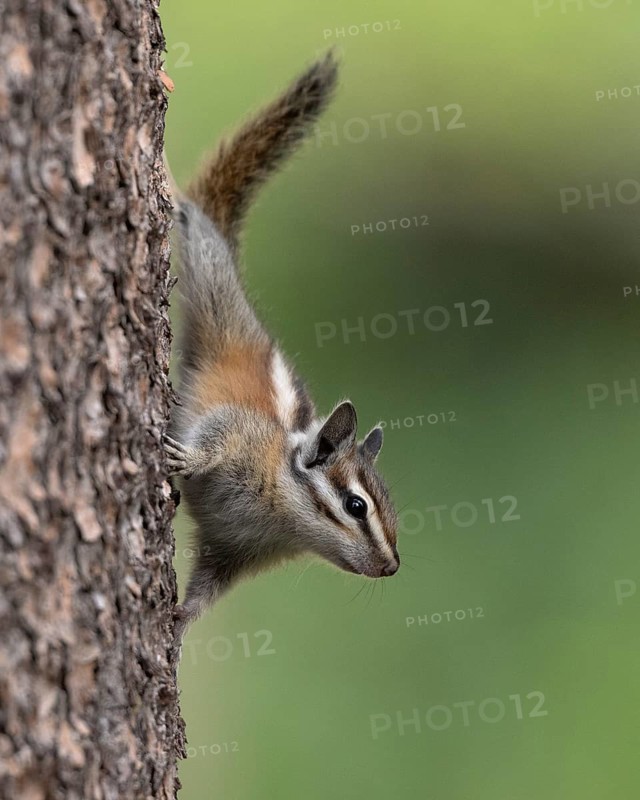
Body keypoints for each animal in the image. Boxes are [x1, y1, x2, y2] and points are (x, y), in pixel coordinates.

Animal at [164, 52, 399, 645]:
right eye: (356, 505)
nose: (392, 567)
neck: (280, 516)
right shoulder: (240, 436)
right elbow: (215, 437)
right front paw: (187, 456)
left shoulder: (232, 552)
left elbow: (207, 586)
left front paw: (179, 621)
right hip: (213, 279)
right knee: (195, 217)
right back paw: (171, 191)